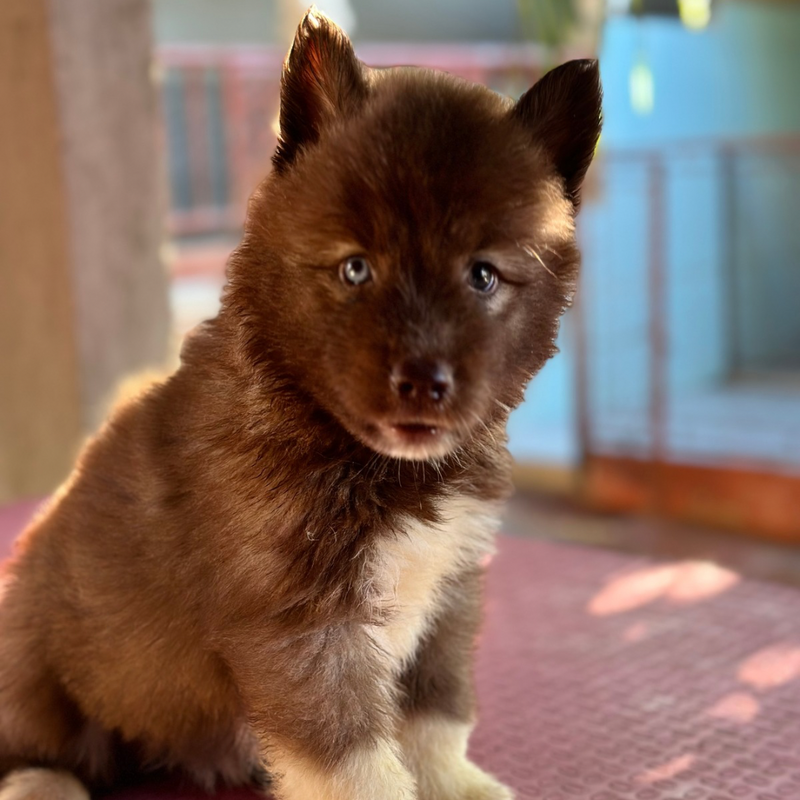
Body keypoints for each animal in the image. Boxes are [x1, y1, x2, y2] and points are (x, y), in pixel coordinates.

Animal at [0, 10, 600, 800]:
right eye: (356, 269)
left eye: (482, 276)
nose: (422, 382)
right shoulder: (304, 629)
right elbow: (356, 766)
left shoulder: (448, 591)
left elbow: (436, 712)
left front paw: (455, 781)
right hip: (39, 664)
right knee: (30, 739)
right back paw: (43, 782)